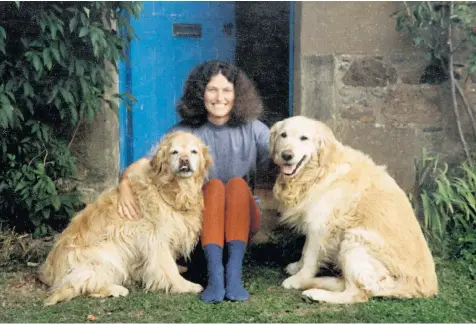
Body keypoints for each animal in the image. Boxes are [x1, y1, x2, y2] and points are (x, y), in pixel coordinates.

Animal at [39, 130, 212, 306]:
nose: (184, 160)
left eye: (193, 151)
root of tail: (50, 274)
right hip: (106, 254)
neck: (168, 189)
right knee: (83, 284)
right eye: (174, 152)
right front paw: (184, 285)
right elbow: (168, 266)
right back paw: (116, 289)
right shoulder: (156, 237)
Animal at [270, 116, 436, 304]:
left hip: (355, 239)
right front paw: (297, 267)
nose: (286, 155)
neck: (319, 170)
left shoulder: (320, 226)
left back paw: (315, 293)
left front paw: (298, 279)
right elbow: (305, 252)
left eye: (304, 138)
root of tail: (428, 288)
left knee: (357, 293)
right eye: (283, 135)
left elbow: (310, 258)